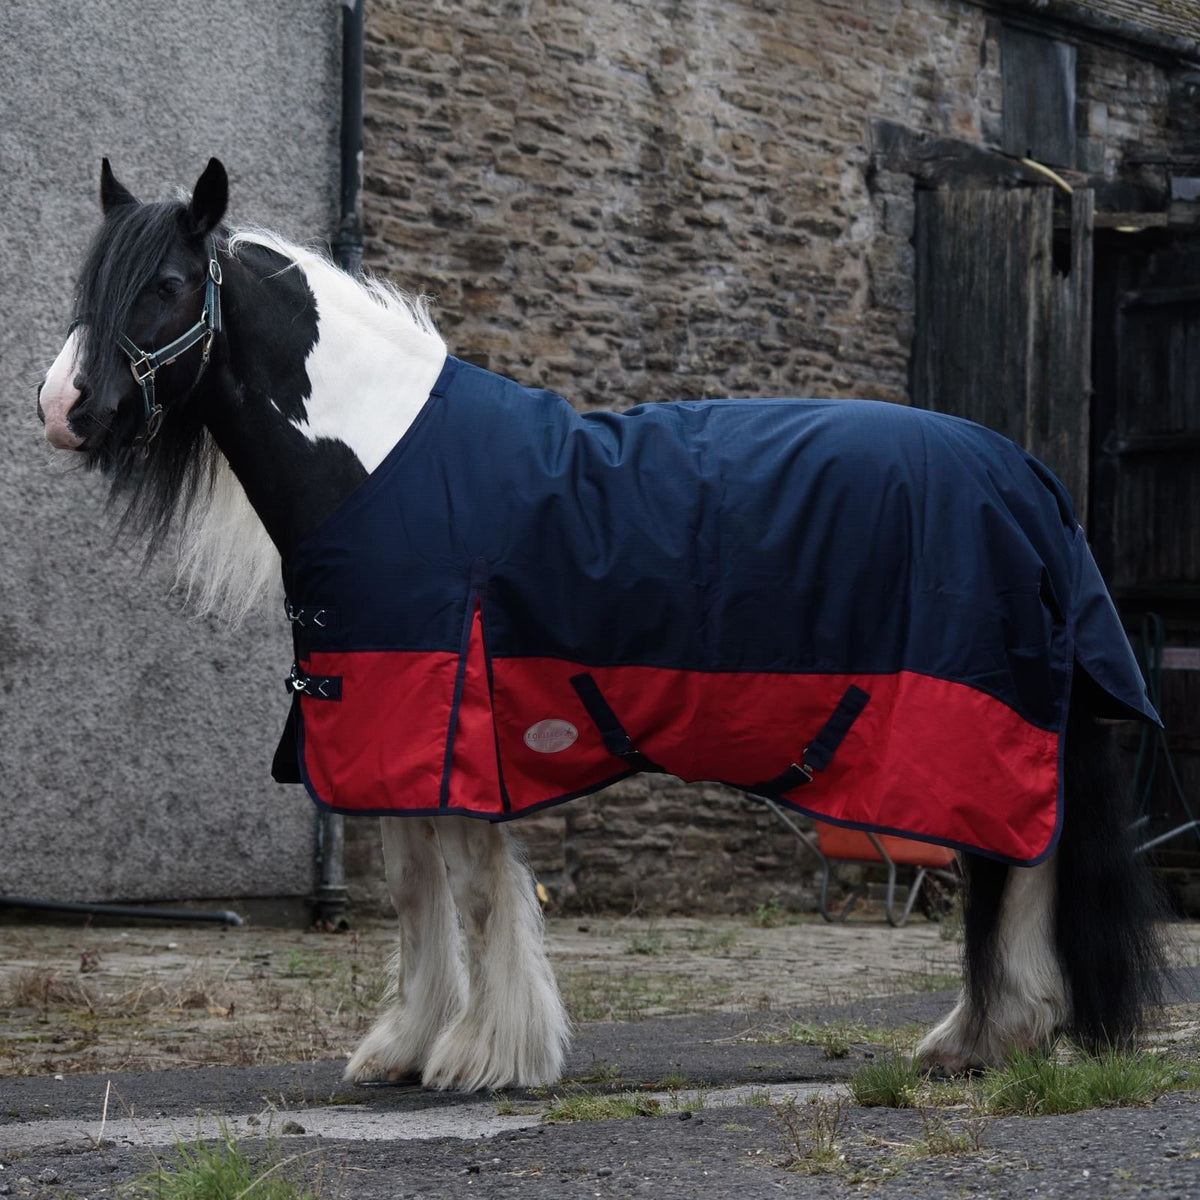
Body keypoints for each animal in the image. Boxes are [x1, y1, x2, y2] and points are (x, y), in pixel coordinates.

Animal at [38, 157, 1166, 1091]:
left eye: (166, 285)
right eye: (88, 288)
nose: (62, 408)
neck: (383, 460)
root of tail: (1028, 479)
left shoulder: (453, 723)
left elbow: (476, 893)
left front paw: (482, 1056)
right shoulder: (384, 725)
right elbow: (413, 891)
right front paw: (407, 1046)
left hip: (965, 728)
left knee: (1003, 865)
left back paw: (977, 1036)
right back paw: (1000, 1035)